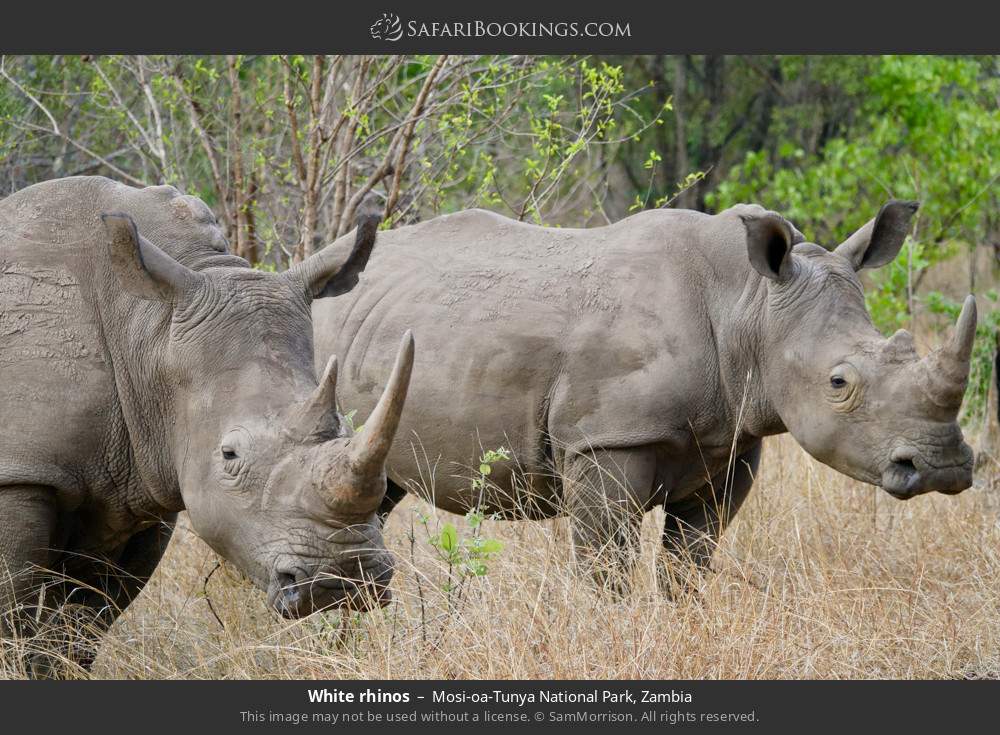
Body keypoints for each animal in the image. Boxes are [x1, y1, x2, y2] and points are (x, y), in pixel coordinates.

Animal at [0, 177, 414, 672]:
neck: (146, 327)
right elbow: (12, 618)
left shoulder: (138, 477)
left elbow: (81, 626)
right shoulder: (20, 470)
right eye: (229, 454)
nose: (346, 580)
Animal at [314, 200, 976, 588]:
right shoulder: (607, 439)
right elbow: (607, 568)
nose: (943, 468)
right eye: (839, 383)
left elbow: (690, 561)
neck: (749, 306)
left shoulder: (731, 441)